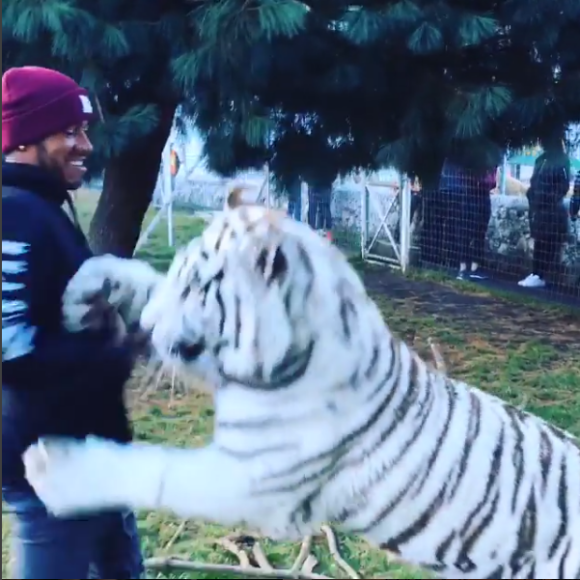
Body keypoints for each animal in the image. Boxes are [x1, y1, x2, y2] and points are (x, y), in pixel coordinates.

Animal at [22, 189, 580, 576]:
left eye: (199, 286)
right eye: (178, 272)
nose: (150, 330)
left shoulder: (252, 479)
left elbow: (153, 469)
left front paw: (57, 468)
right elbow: (137, 277)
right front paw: (85, 289)